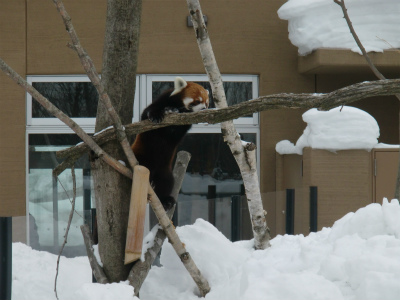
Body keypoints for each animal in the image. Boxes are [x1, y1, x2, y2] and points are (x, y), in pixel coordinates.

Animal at [133, 76, 211, 210]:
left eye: (206, 103)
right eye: (197, 101)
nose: (203, 109)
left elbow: (177, 132)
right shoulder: (161, 101)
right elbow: (147, 115)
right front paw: (157, 114)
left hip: (165, 170)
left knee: (166, 182)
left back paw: (166, 200)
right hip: (141, 157)